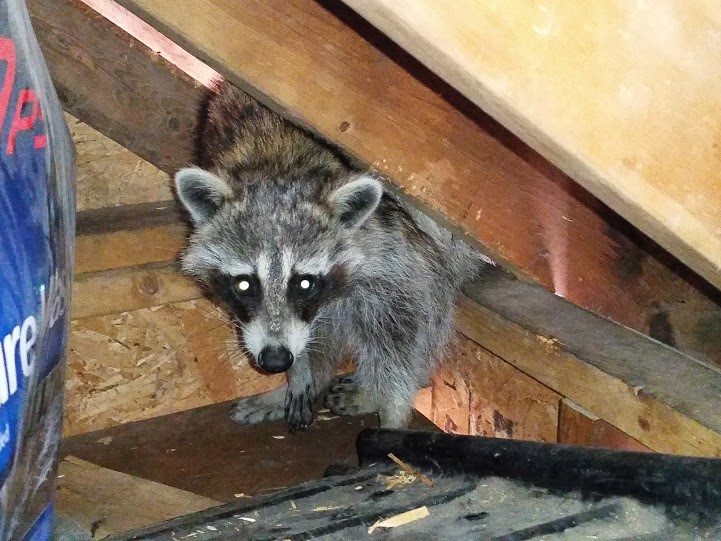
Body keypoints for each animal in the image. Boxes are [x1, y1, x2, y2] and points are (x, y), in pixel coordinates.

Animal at [173, 82, 484, 430]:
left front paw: (392, 407)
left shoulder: (393, 241)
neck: (279, 164)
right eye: (244, 284)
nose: (276, 360)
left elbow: (405, 319)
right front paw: (300, 372)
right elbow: (315, 331)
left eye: (304, 283)